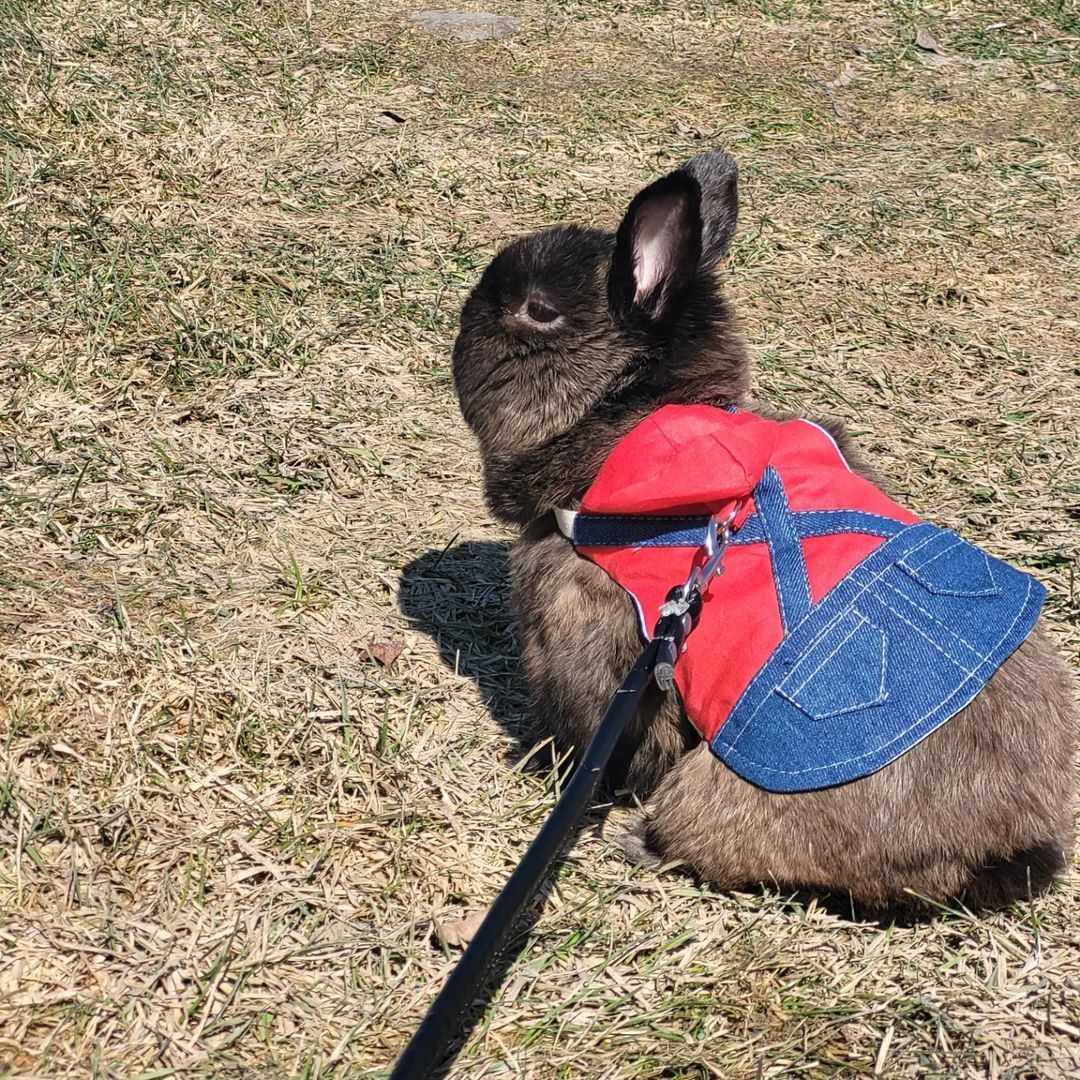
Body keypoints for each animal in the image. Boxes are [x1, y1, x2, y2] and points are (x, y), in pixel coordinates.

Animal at [450, 149, 1076, 915]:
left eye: (538, 311)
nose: (463, 316)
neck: (632, 425)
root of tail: (1006, 850)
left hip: (714, 789)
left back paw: (643, 842)